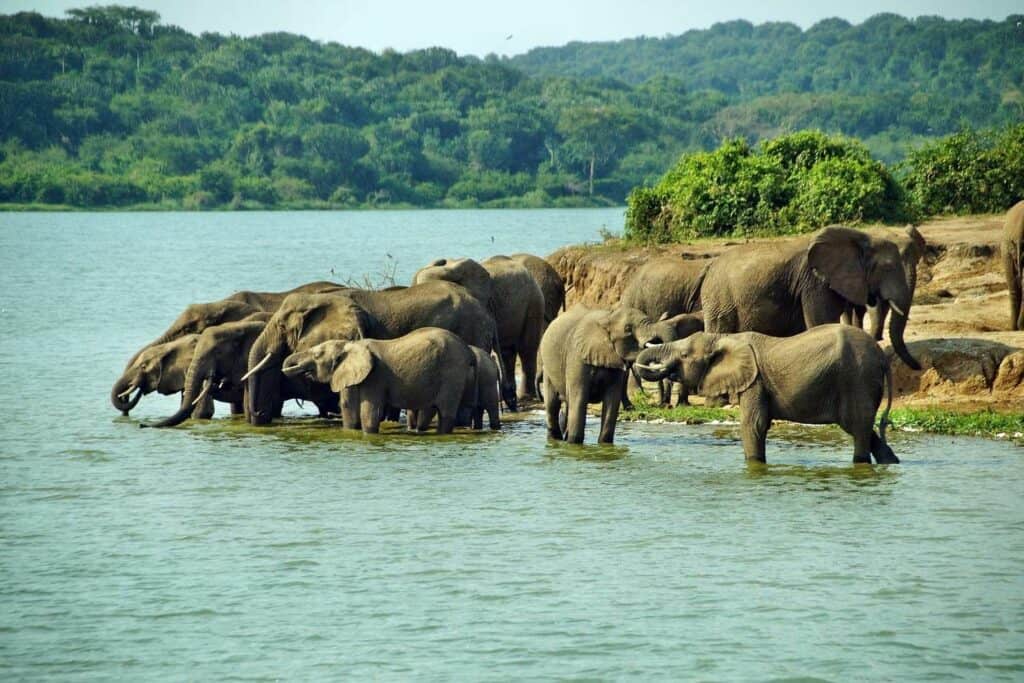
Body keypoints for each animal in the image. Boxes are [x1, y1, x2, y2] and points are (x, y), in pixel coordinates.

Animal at [281, 328, 475, 434]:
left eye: (317, 355)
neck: (349, 345)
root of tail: (468, 350)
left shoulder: (375, 377)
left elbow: (369, 411)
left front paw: (368, 434)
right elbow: (348, 407)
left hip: (452, 372)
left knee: (445, 412)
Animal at [539, 304, 657, 444]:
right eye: (628, 329)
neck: (608, 318)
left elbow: (612, 401)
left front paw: (604, 444)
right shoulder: (576, 356)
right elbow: (579, 398)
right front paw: (574, 444)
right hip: (548, 370)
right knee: (552, 405)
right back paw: (555, 440)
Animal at [634, 325, 898, 464]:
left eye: (685, 355)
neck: (724, 337)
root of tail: (883, 358)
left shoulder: (755, 381)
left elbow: (754, 424)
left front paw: (755, 466)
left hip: (857, 378)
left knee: (858, 428)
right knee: (862, 428)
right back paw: (891, 463)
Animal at [700, 225, 921, 371]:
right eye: (888, 268)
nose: (918, 366)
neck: (860, 235)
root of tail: (709, 268)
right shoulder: (815, 283)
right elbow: (821, 322)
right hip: (720, 300)